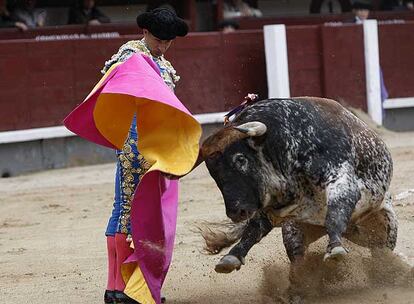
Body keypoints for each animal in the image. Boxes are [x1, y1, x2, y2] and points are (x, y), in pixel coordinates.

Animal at [197, 98, 398, 300]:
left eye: (240, 159)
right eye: (213, 172)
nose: (236, 212)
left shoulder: (342, 183)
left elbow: (336, 213)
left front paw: (335, 249)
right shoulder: (271, 209)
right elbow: (253, 230)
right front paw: (231, 257)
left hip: (384, 229)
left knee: (380, 252)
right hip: (295, 231)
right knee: (298, 260)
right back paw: (298, 290)